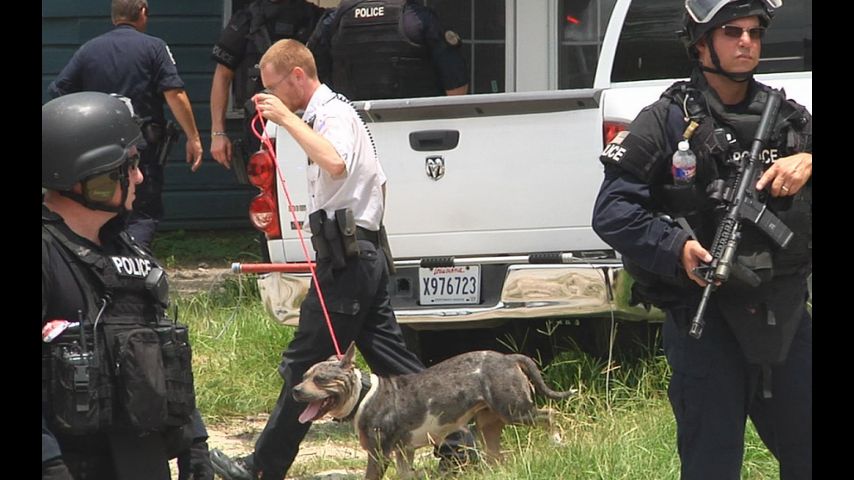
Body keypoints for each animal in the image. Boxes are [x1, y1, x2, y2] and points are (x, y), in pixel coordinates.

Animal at [292, 344, 576, 478]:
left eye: (320, 379)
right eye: (304, 375)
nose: (294, 390)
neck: (363, 396)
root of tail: (509, 357)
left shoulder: (379, 454)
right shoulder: (403, 452)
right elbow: (406, 475)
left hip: (515, 410)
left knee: (551, 414)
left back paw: (557, 440)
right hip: (489, 424)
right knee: (497, 457)